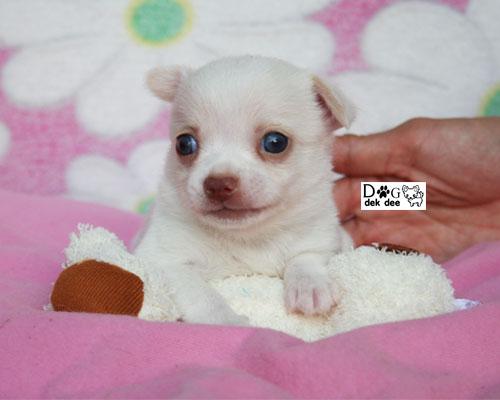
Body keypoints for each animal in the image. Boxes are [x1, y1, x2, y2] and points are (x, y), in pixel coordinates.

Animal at [134, 55, 355, 325]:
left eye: (275, 142)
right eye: (184, 144)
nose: (218, 184)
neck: (248, 238)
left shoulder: (322, 240)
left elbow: (304, 258)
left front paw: (310, 286)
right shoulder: (164, 261)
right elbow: (200, 293)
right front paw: (226, 321)